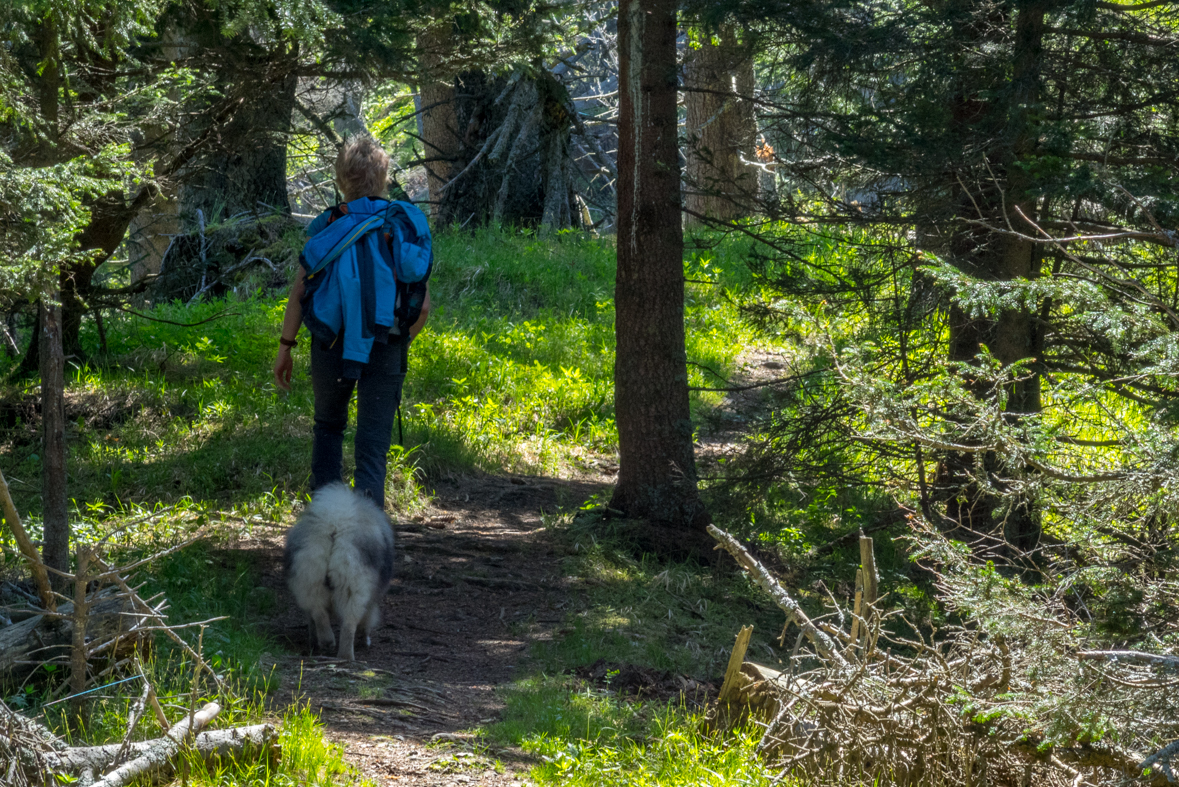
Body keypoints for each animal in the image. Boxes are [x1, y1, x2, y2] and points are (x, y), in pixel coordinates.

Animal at [284, 483, 396, 659]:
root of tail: (335, 526)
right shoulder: (372, 598)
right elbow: (367, 621)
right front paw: (365, 640)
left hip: (310, 580)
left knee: (318, 613)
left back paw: (325, 641)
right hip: (353, 588)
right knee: (348, 626)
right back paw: (346, 656)